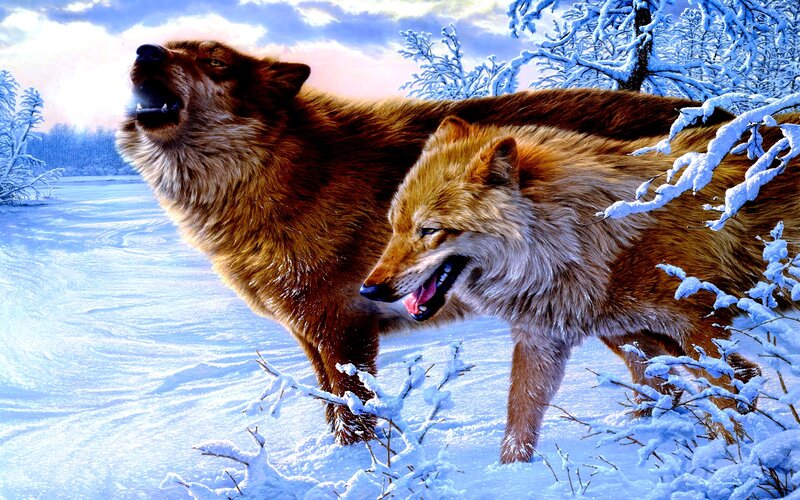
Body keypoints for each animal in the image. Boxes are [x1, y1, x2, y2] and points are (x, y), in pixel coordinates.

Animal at [116, 40, 732, 444]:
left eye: (215, 62)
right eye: (170, 48)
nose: (144, 51)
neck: (283, 176)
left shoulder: (342, 328)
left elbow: (354, 415)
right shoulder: (308, 332)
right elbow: (332, 410)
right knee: (665, 380)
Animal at [360, 115, 798, 462]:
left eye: (429, 230)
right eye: (395, 227)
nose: (369, 290)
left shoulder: (701, 325)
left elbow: (726, 396)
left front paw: (739, 458)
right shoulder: (549, 337)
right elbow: (520, 417)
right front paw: (513, 475)